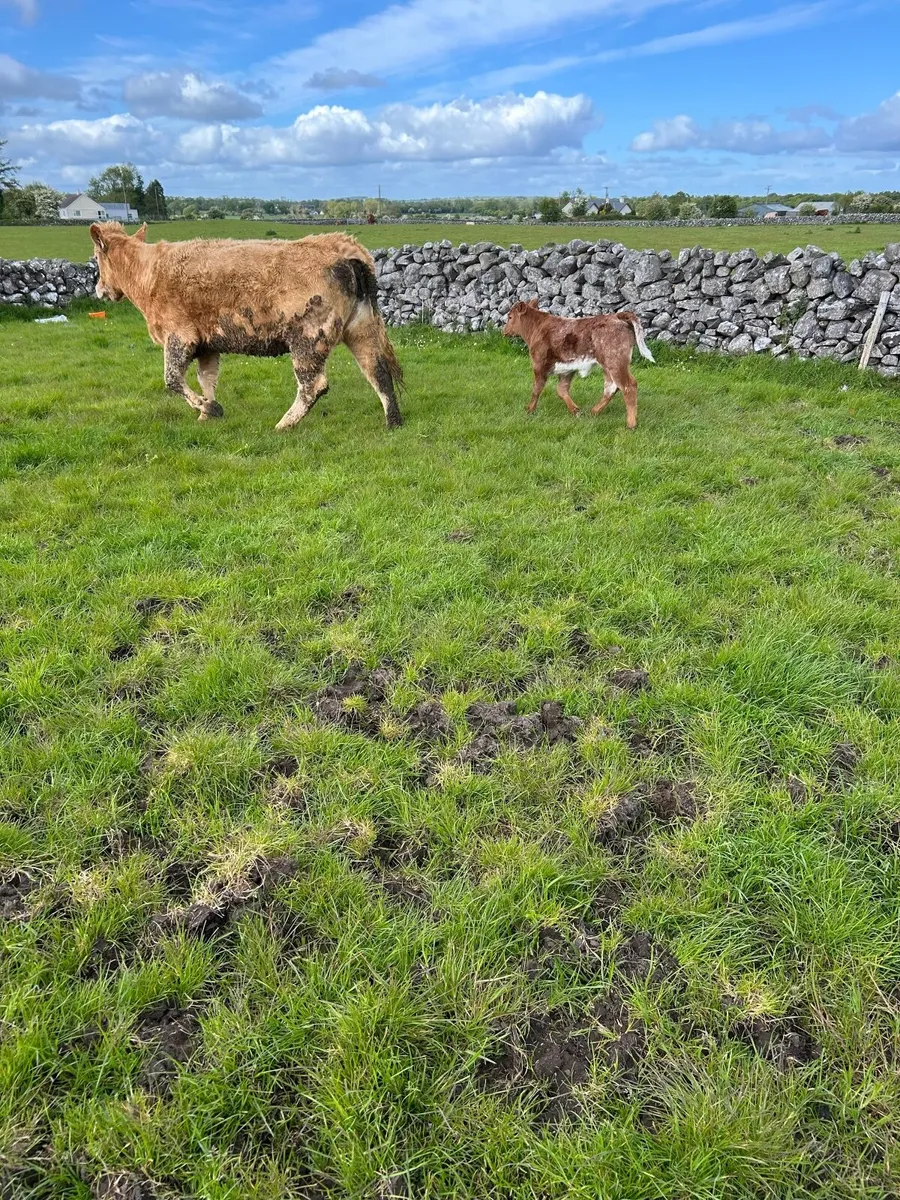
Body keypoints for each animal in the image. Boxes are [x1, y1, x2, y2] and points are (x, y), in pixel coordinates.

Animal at [89, 222, 403, 431]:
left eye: (96, 258)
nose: (99, 289)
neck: (149, 272)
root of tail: (338, 245)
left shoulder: (179, 335)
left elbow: (172, 379)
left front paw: (210, 408)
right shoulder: (207, 343)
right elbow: (207, 379)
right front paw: (206, 414)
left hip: (309, 336)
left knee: (314, 385)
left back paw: (283, 424)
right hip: (360, 328)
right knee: (377, 371)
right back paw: (393, 421)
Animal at [502, 300, 654, 429]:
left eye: (510, 317)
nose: (504, 331)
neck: (537, 328)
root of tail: (618, 315)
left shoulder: (539, 365)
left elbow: (536, 389)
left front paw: (530, 410)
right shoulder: (566, 369)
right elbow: (561, 390)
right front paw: (576, 410)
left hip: (615, 361)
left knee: (628, 386)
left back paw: (631, 424)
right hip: (608, 365)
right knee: (611, 387)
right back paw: (593, 412)